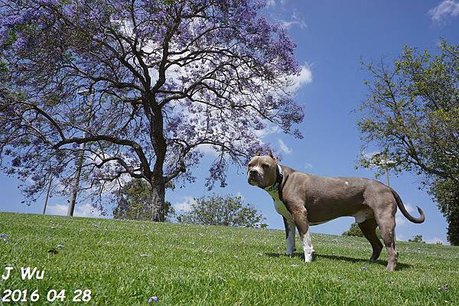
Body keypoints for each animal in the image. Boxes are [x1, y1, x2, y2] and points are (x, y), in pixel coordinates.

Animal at [250, 154, 426, 272]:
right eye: (250, 164)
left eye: (265, 165)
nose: (253, 172)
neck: (282, 179)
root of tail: (387, 187)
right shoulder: (288, 219)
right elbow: (290, 240)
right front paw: (288, 255)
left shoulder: (300, 214)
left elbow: (306, 240)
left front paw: (308, 260)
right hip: (366, 224)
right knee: (377, 245)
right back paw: (368, 264)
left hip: (385, 222)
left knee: (392, 249)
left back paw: (388, 270)